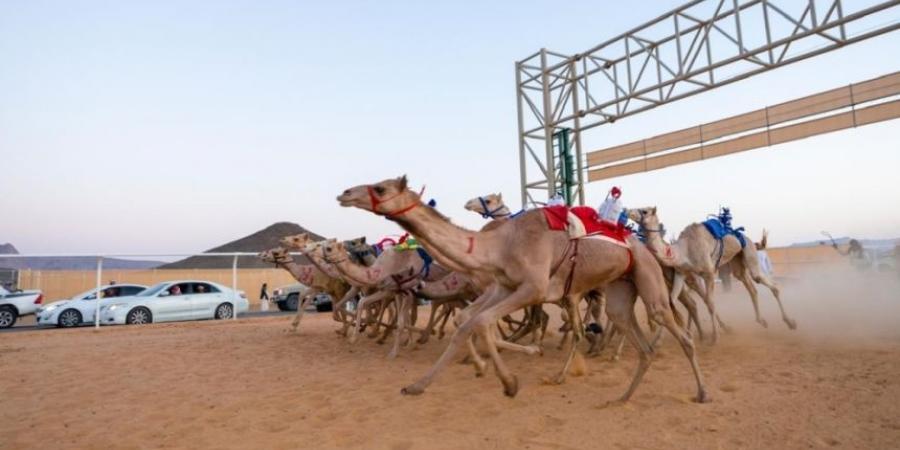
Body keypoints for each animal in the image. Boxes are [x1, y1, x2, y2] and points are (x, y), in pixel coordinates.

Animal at [334, 176, 708, 400]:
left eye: (380, 188)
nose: (345, 193)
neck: (500, 244)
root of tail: (640, 244)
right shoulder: (504, 286)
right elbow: (468, 322)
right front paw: (417, 385)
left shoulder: (534, 288)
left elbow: (482, 322)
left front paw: (510, 382)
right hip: (618, 288)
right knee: (630, 337)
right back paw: (621, 396)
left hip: (648, 279)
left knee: (676, 330)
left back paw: (701, 391)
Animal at [628, 207, 800, 344]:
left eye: (645, 211)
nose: (628, 211)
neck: (683, 250)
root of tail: (751, 240)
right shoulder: (681, 274)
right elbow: (671, 301)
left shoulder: (708, 273)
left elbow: (710, 302)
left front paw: (714, 337)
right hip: (737, 262)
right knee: (750, 287)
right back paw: (762, 321)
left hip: (748, 251)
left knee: (766, 282)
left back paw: (791, 322)